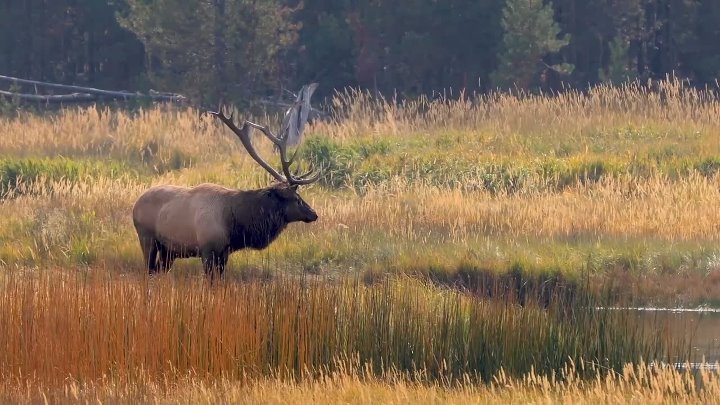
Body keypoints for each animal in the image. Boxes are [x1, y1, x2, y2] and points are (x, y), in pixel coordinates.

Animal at [132, 84, 320, 278]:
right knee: (148, 269)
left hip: (168, 251)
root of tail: (135, 205)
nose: (314, 214)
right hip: (147, 238)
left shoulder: (225, 252)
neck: (235, 224)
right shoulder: (208, 249)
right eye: (296, 199)